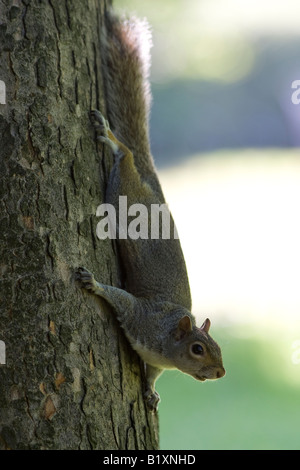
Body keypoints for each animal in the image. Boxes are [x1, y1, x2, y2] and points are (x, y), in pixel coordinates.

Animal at [75, 10, 225, 408]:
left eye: (218, 348)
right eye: (198, 349)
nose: (221, 373)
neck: (167, 336)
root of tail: (154, 190)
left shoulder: (154, 357)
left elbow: (153, 374)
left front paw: (151, 392)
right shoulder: (140, 316)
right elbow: (120, 299)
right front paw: (93, 283)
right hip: (123, 194)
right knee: (125, 158)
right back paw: (111, 139)